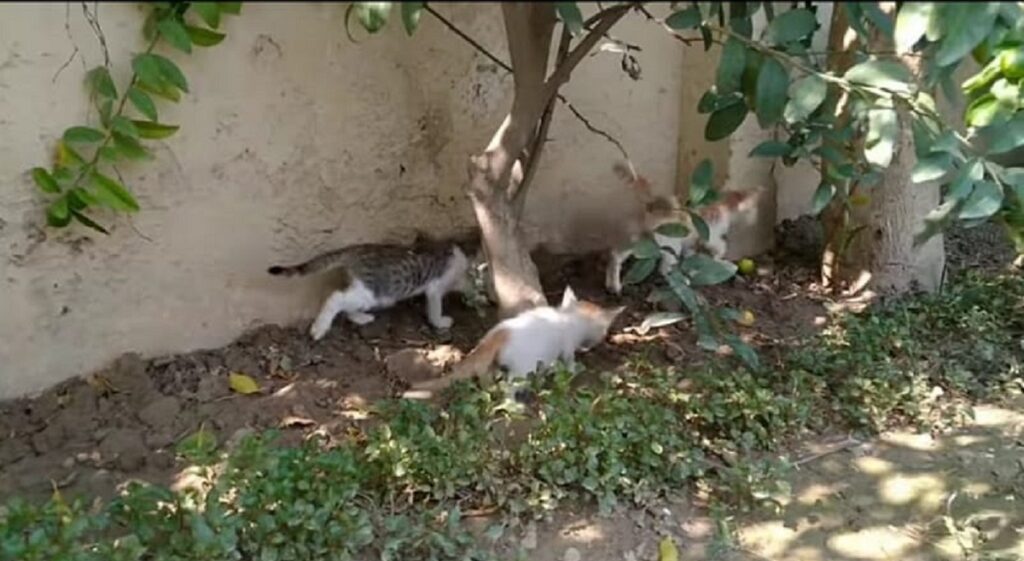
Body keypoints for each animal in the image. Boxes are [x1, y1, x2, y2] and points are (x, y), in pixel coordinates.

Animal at [266, 239, 468, 339]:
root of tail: (355, 250)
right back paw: (320, 327)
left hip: (362, 289)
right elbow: (435, 305)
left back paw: (360, 317)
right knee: (336, 297)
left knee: (346, 303)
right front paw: (440, 322)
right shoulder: (436, 286)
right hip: (373, 291)